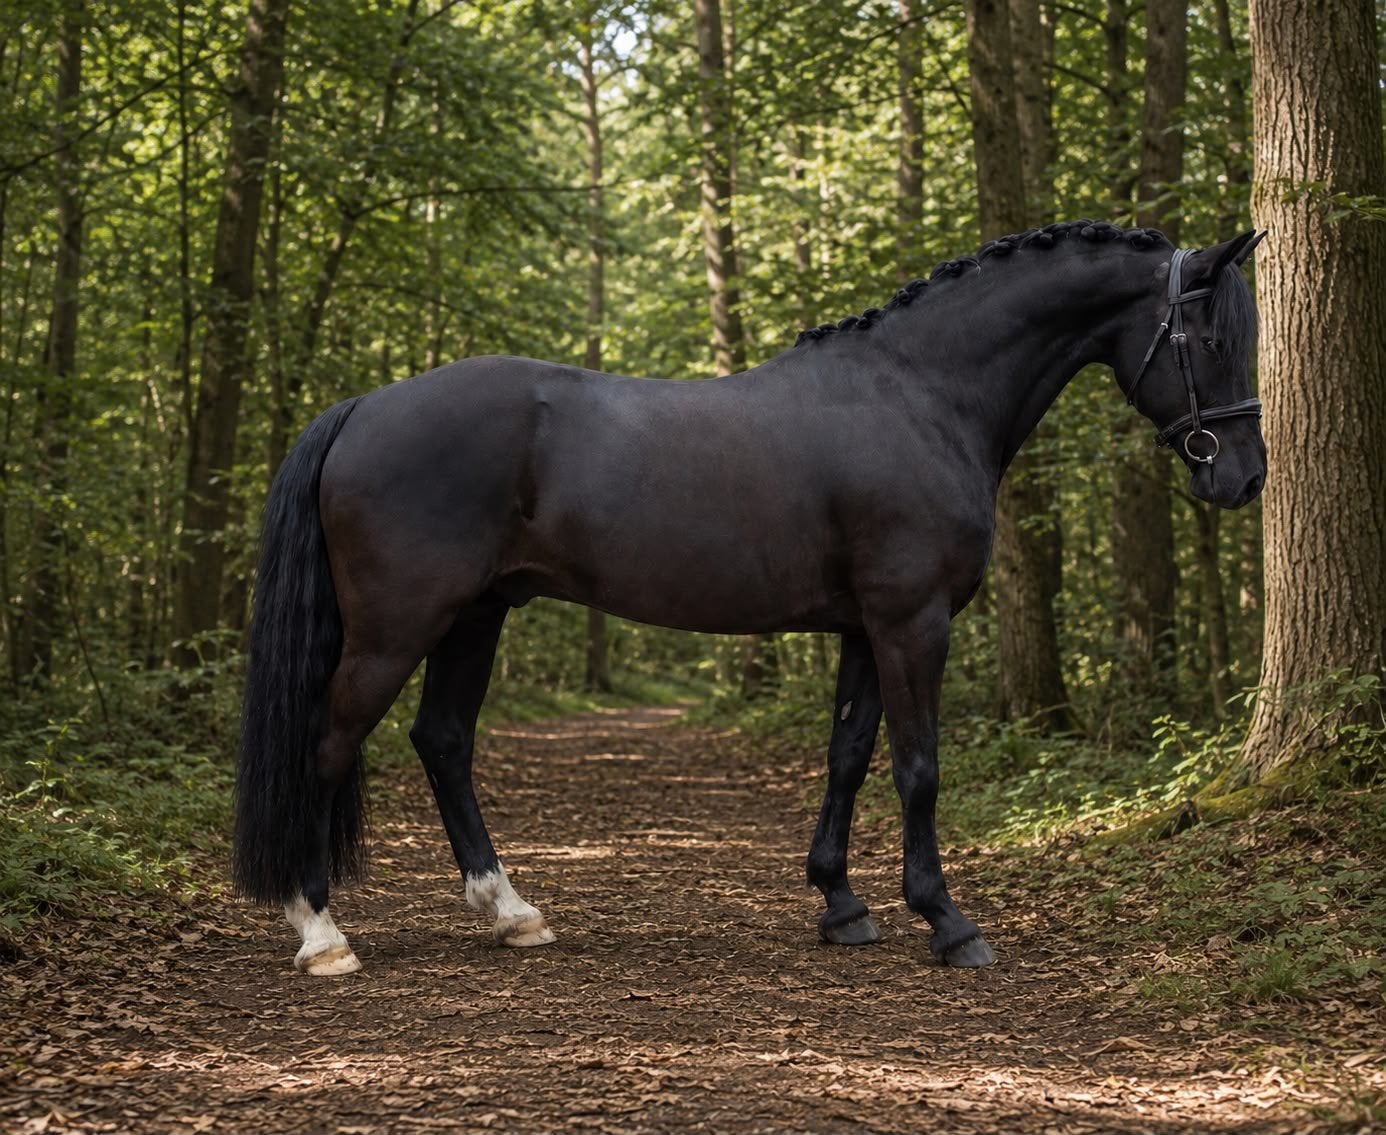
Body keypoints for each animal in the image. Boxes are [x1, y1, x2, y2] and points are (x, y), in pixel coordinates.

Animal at [233, 221, 1267, 975]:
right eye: (1211, 336)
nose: (1244, 476)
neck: (921, 395)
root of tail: (362, 409)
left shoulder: (862, 627)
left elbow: (848, 757)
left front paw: (842, 905)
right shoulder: (912, 622)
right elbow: (918, 767)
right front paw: (947, 920)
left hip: (476, 615)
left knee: (443, 740)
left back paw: (511, 911)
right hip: (396, 624)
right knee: (329, 741)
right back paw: (322, 932)